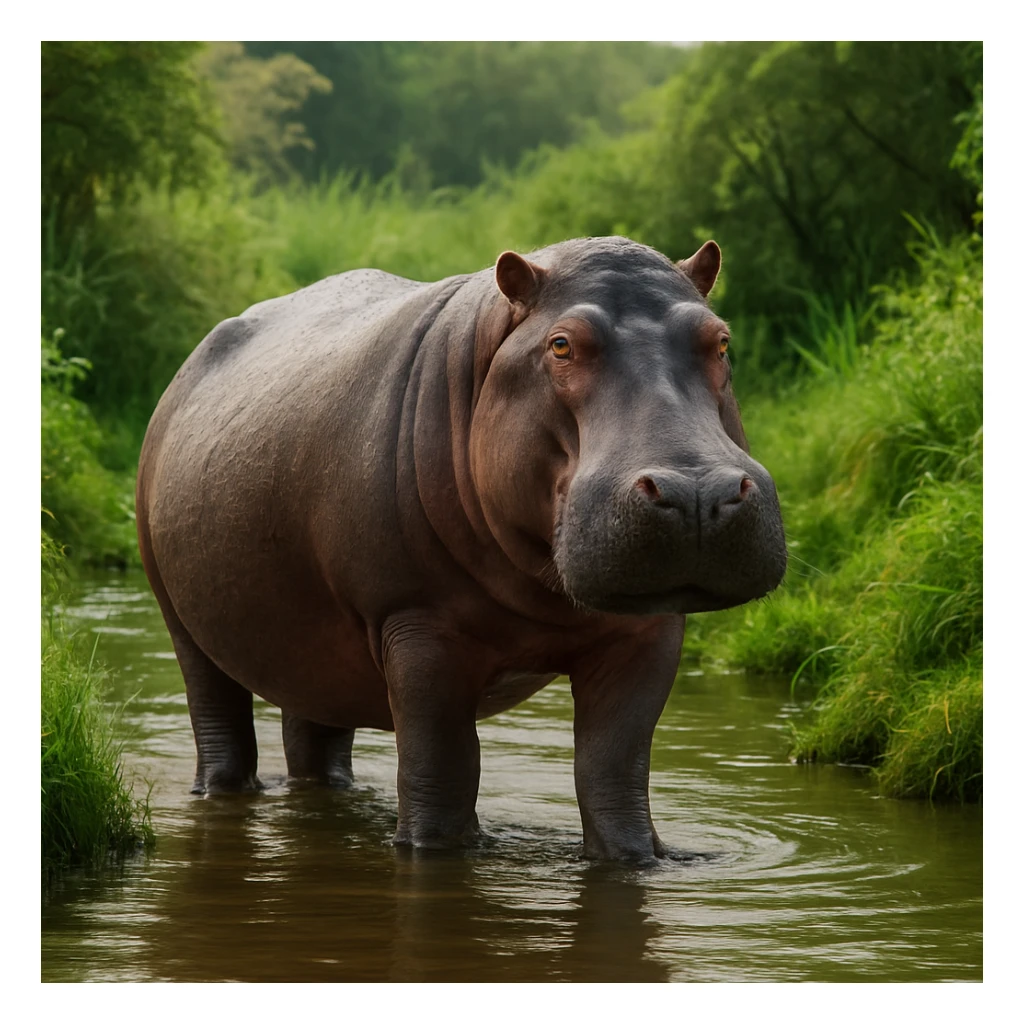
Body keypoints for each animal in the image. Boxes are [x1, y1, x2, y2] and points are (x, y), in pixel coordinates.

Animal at [136, 236, 787, 863]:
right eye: (560, 345)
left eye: (720, 340)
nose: (697, 493)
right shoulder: (419, 627)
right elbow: (442, 772)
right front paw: (434, 852)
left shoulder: (646, 633)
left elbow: (612, 773)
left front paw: (637, 859)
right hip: (184, 622)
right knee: (218, 722)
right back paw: (219, 787)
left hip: (312, 648)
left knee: (314, 734)